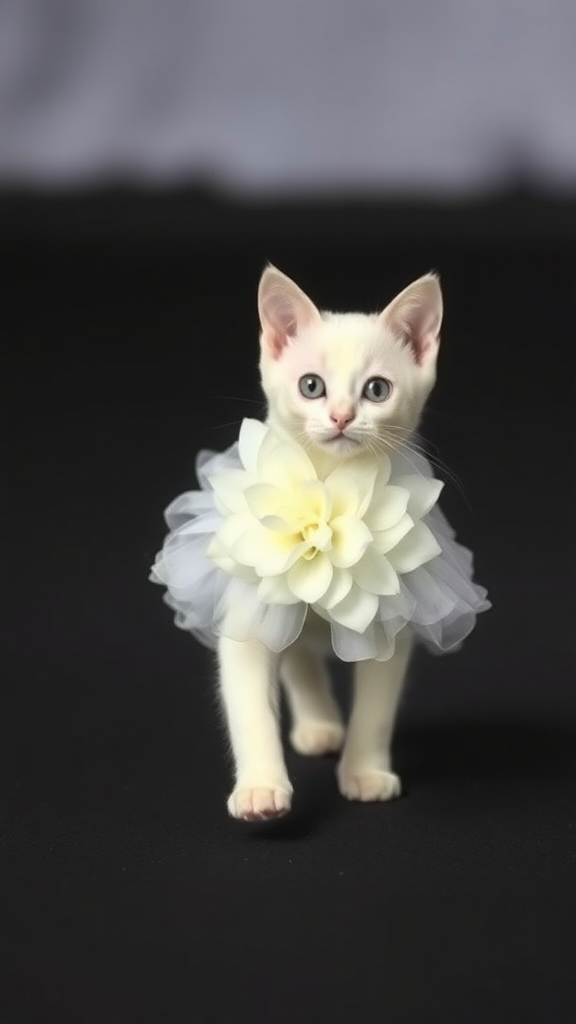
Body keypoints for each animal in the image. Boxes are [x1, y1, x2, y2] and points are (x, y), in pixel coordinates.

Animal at [218, 266, 438, 823]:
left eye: (377, 390)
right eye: (311, 386)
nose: (340, 416)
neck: (328, 489)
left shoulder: (390, 618)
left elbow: (376, 709)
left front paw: (365, 771)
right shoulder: (247, 618)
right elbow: (250, 706)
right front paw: (260, 787)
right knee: (295, 652)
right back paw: (317, 725)